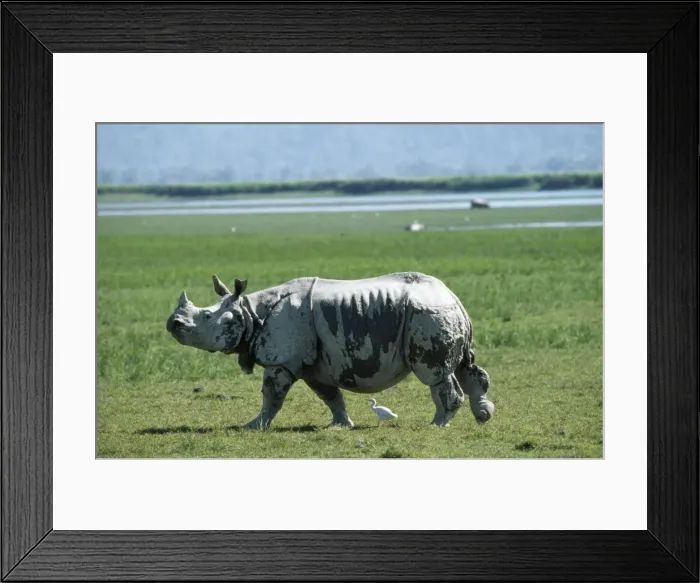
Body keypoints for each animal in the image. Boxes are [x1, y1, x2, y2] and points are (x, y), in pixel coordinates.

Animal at [165, 272, 494, 430]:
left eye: (206, 317)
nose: (173, 323)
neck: (249, 313)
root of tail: (451, 295)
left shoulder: (281, 360)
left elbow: (272, 395)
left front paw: (253, 426)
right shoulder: (313, 363)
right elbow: (330, 396)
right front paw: (340, 425)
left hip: (426, 314)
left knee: (434, 373)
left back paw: (437, 425)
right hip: (441, 313)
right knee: (464, 366)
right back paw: (483, 416)